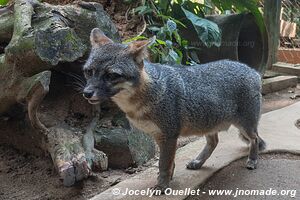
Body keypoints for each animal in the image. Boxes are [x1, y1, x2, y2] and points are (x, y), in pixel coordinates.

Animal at [82, 27, 264, 192]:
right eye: (89, 72)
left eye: (112, 75)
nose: (86, 93)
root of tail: (252, 71)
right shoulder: (159, 135)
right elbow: (169, 162)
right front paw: (167, 179)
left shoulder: (169, 135)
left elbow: (164, 163)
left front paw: (162, 186)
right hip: (208, 123)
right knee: (214, 142)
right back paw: (198, 162)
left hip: (245, 126)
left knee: (254, 138)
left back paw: (253, 160)